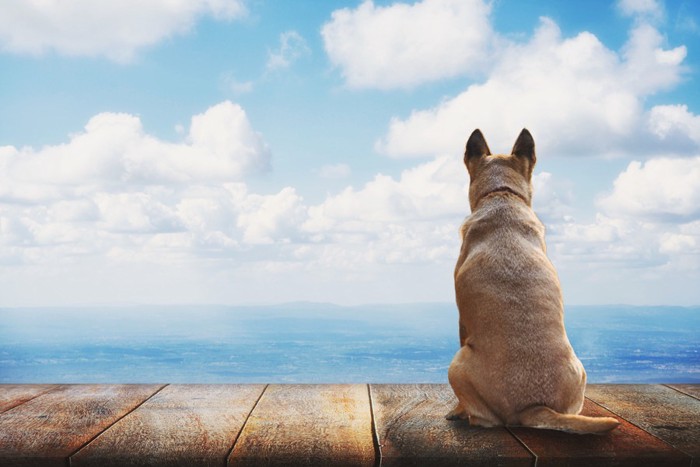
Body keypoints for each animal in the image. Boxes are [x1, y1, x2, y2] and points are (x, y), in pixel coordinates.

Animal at [448, 129, 616, 436]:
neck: (501, 195)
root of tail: (534, 406)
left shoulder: (462, 321)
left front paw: (456, 411)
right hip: (581, 372)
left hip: (457, 363)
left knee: (484, 418)